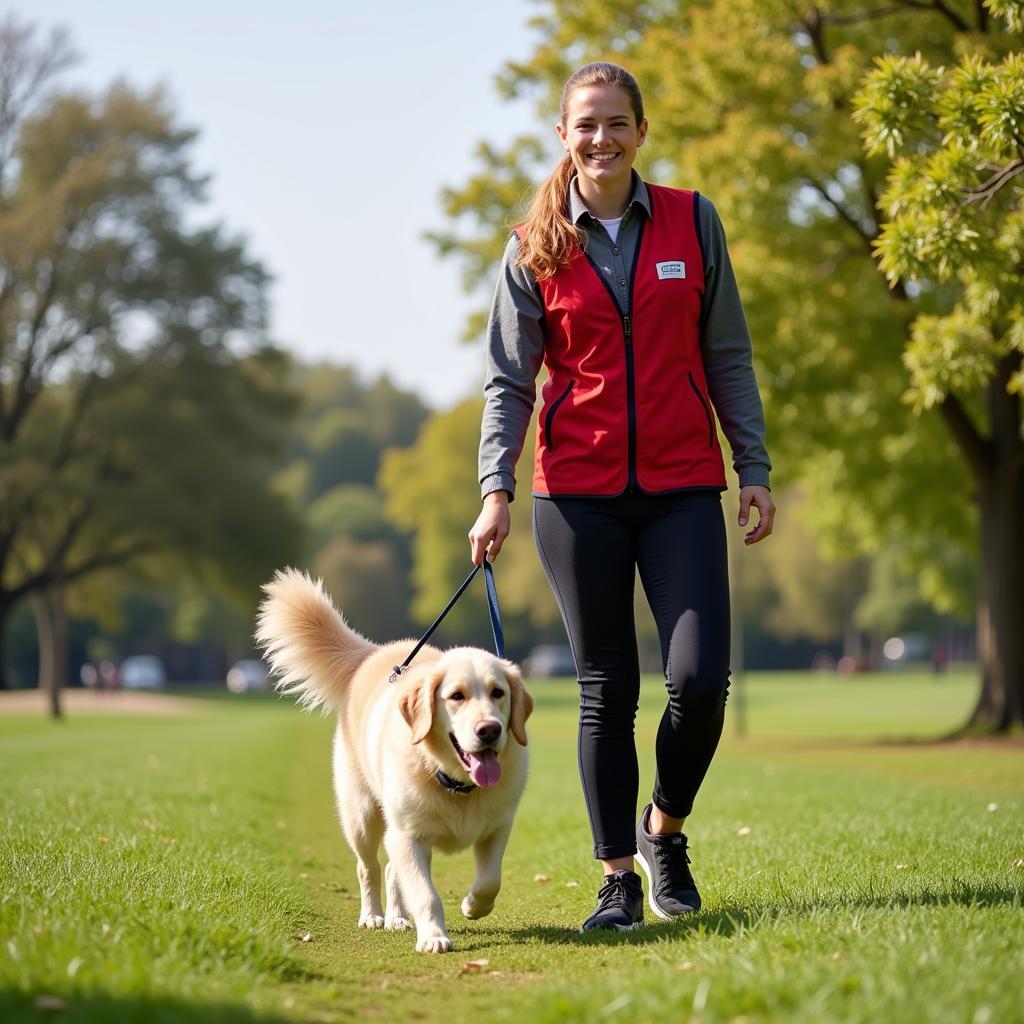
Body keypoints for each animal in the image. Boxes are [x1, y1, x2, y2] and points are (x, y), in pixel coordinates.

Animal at [253, 569, 536, 950]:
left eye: (498, 693)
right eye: (456, 696)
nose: (489, 730)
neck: (454, 782)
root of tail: (373, 653)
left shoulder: (497, 827)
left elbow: (490, 879)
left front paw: (472, 905)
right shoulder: (407, 835)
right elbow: (426, 895)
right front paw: (434, 937)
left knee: (390, 870)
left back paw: (398, 918)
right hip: (363, 816)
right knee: (369, 867)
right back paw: (373, 916)